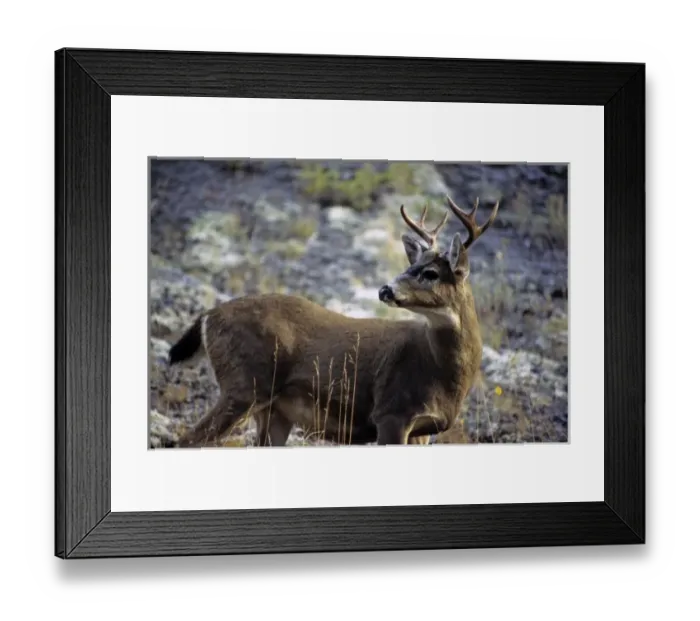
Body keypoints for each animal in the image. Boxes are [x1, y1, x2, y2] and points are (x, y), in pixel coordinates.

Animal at [167, 194, 499, 448]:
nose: (385, 289)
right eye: (412, 265)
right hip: (244, 385)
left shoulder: (421, 430)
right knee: (186, 440)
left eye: (430, 273)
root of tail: (208, 316)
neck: (443, 374)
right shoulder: (391, 413)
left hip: (273, 411)